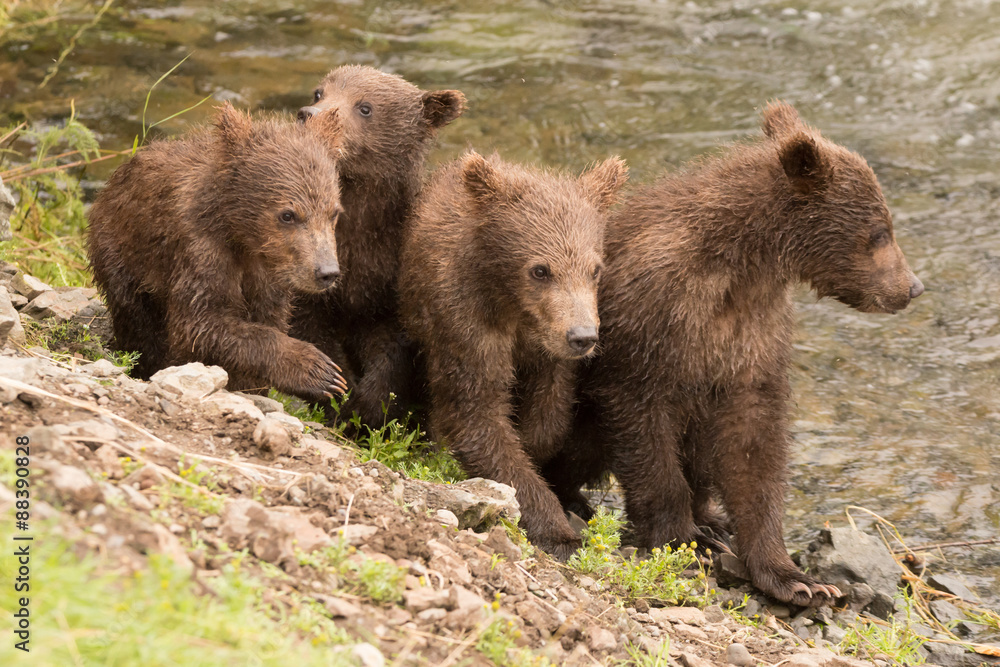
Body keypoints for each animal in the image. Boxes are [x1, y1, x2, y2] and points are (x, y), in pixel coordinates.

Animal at [87, 103, 349, 403]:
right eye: (288, 214)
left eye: (334, 212)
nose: (326, 272)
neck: (243, 237)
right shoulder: (200, 249)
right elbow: (200, 323)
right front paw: (321, 371)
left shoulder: (270, 273)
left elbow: (267, 316)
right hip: (122, 254)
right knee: (138, 320)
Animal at [290, 65, 466, 426]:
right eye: (319, 92)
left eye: (365, 107)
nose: (308, 113)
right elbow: (312, 328)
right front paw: (337, 389)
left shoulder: (390, 276)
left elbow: (394, 348)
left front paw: (370, 405)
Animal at [399, 151, 629, 558]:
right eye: (540, 269)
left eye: (595, 269)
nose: (582, 337)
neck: (513, 305)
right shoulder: (466, 322)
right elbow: (477, 414)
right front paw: (557, 531)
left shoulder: (547, 347)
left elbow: (550, 413)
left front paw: (535, 444)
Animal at [543, 101, 923, 605]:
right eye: (880, 232)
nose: (912, 287)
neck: (741, 265)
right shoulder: (650, 323)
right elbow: (644, 427)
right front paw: (683, 537)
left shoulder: (753, 335)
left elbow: (752, 442)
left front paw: (796, 578)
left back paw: (712, 518)